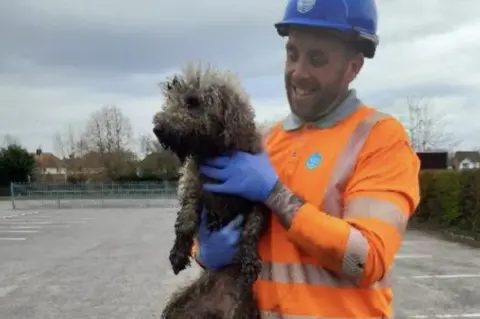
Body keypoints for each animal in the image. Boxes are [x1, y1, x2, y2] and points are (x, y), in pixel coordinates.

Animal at [152, 63, 268, 318]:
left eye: (193, 101)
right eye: (171, 99)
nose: (158, 128)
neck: (214, 152)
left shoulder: (257, 198)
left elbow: (251, 229)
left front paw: (249, 258)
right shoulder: (192, 188)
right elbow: (185, 221)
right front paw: (178, 253)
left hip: (240, 310)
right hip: (178, 304)